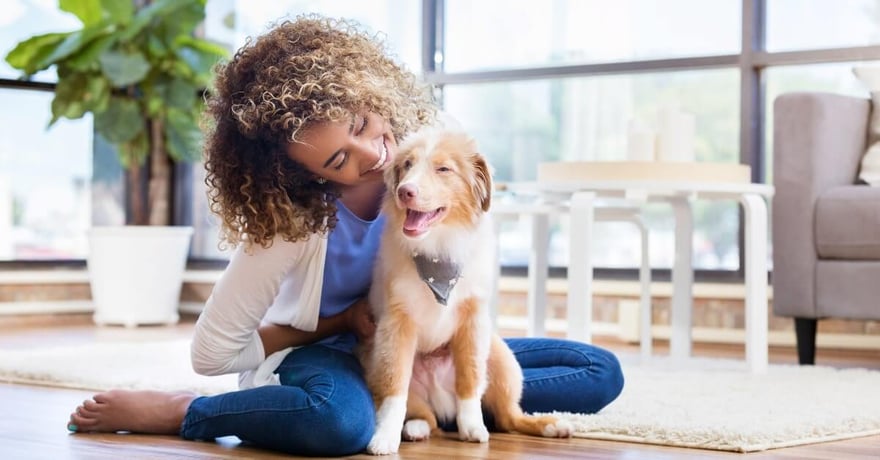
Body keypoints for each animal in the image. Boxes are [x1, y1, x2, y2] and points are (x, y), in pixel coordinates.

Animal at [360, 124, 576, 454]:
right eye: (407, 165)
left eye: (443, 169)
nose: (404, 191)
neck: (439, 248)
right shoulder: (396, 324)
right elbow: (395, 388)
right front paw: (384, 437)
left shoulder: (473, 321)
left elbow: (470, 379)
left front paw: (472, 427)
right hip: (375, 361)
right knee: (425, 416)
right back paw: (414, 428)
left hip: (501, 358)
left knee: (509, 417)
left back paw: (553, 425)